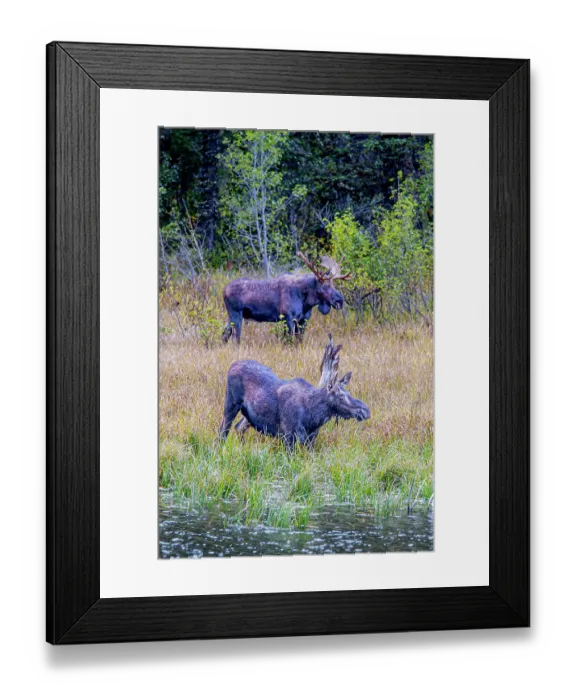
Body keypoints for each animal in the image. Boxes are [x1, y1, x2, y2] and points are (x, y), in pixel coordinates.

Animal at [218, 335, 370, 450]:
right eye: (341, 395)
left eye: (349, 392)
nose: (365, 410)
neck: (313, 415)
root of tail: (232, 365)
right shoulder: (288, 436)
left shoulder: (311, 439)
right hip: (231, 404)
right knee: (222, 431)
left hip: (248, 416)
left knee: (239, 427)